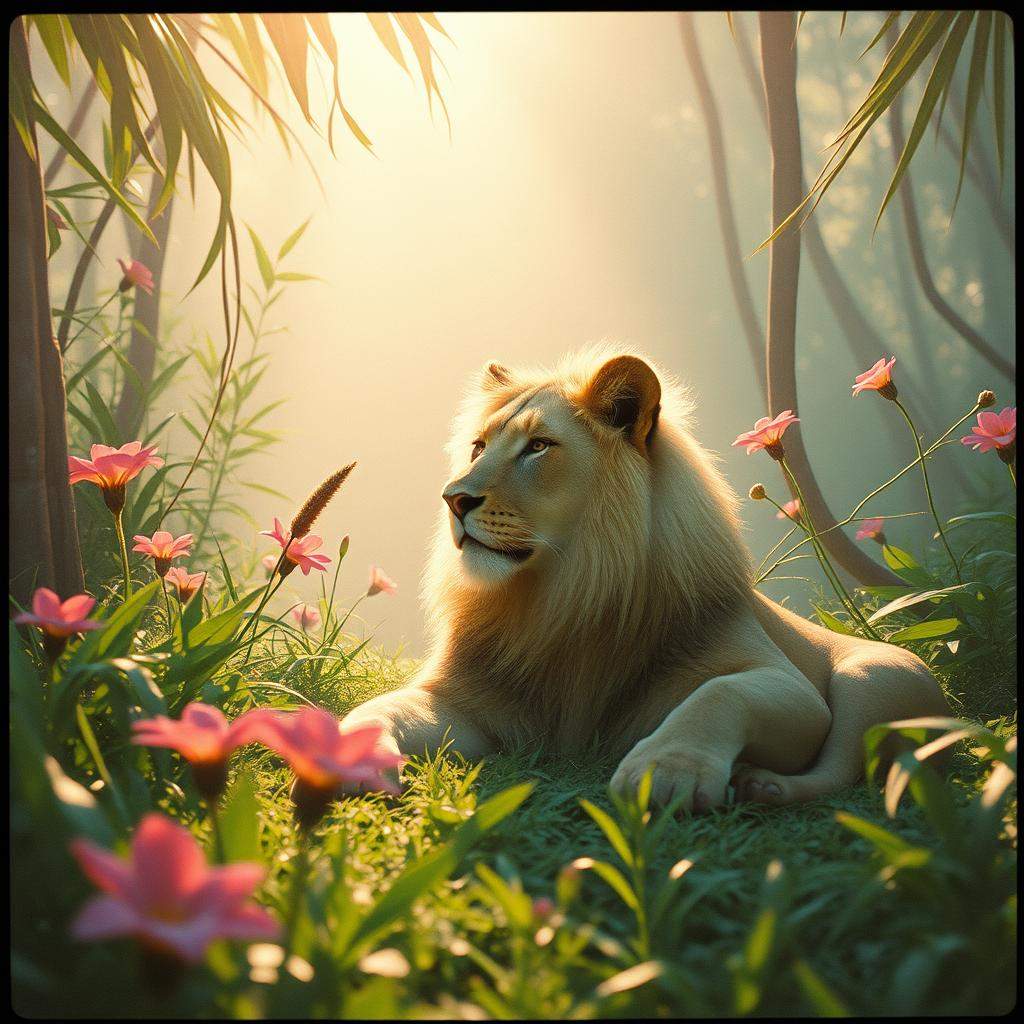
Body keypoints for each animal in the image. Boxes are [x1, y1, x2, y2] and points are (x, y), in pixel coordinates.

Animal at [341, 348, 948, 810]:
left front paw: (666, 768)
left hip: (877, 676)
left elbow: (718, 693)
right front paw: (346, 753)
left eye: (538, 447)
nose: (453, 498)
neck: (561, 595)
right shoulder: (462, 701)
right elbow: (378, 707)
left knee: (842, 765)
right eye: (478, 447)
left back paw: (763, 784)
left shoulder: (785, 685)